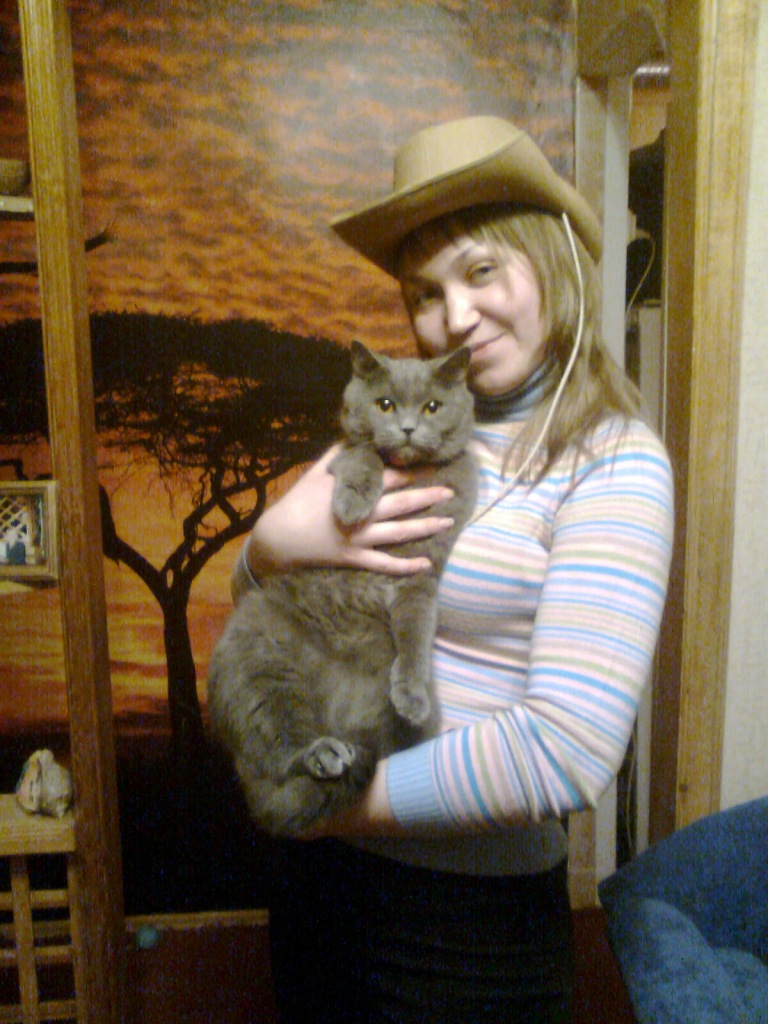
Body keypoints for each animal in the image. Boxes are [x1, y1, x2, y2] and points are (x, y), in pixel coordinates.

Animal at [207, 340, 477, 836]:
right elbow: (364, 456)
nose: (407, 428)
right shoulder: (338, 458)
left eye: (433, 406)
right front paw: (352, 505)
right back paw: (323, 754)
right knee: (279, 749)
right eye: (384, 404)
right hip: (257, 663)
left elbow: (415, 633)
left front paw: (411, 692)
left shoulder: (420, 574)